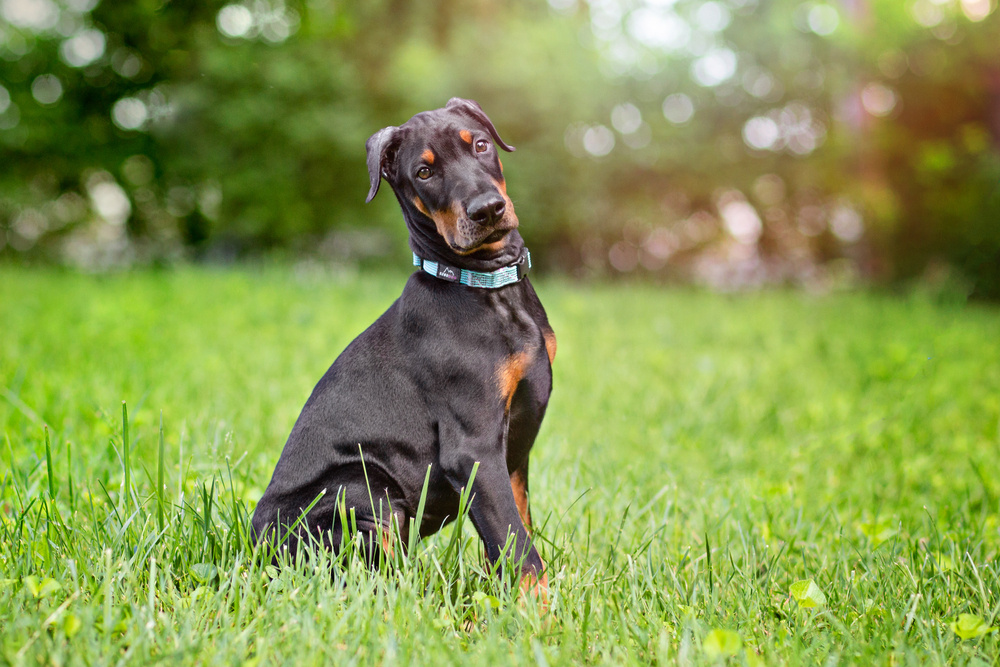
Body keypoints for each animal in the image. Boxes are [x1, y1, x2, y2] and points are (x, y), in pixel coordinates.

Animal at [252, 99, 556, 600]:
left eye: (481, 144)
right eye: (424, 172)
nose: (488, 210)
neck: (485, 285)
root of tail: (253, 551)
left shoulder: (514, 453)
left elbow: (515, 528)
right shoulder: (473, 446)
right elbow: (519, 548)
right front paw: (539, 613)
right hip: (362, 490)